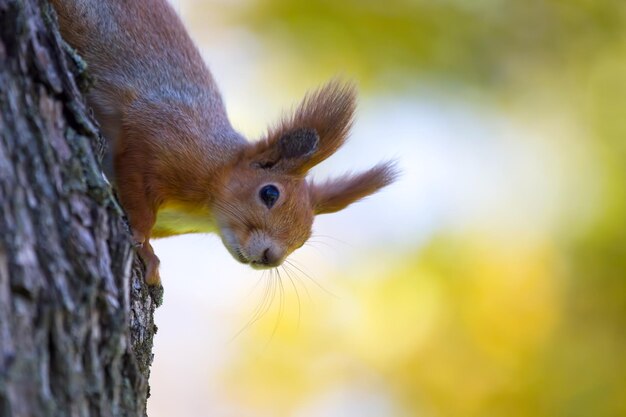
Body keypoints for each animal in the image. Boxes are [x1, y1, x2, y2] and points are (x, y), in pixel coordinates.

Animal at [51, 0, 398, 286]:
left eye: (304, 237)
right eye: (269, 193)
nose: (271, 258)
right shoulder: (158, 134)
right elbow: (138, 189)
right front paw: (143, 242)